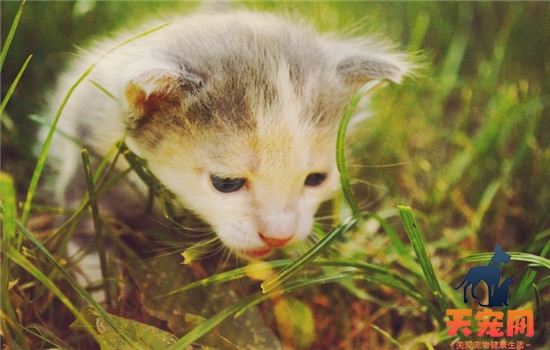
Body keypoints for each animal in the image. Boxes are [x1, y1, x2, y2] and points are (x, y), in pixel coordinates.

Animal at [44, 9, 414, 258]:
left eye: (316, 179)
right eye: (226, 183)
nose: (278, 237)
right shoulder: (87, 142)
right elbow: (84, 215)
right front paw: (96, 279)